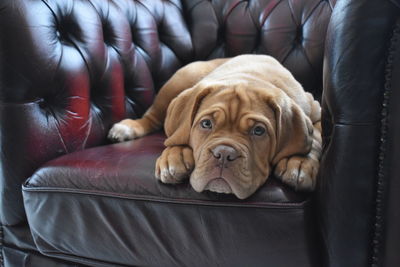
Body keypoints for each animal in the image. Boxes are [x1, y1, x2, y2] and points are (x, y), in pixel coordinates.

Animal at [108, 55, 322, 200]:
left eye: (259, 131)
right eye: (206, 124)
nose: (224, 154)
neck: (248, 78)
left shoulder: (316, 110)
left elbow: (316, 137)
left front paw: (299, 162)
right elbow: (178, 134)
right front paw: (174, 156)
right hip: (181, 79)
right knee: (153, 116)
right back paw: (127, 128)